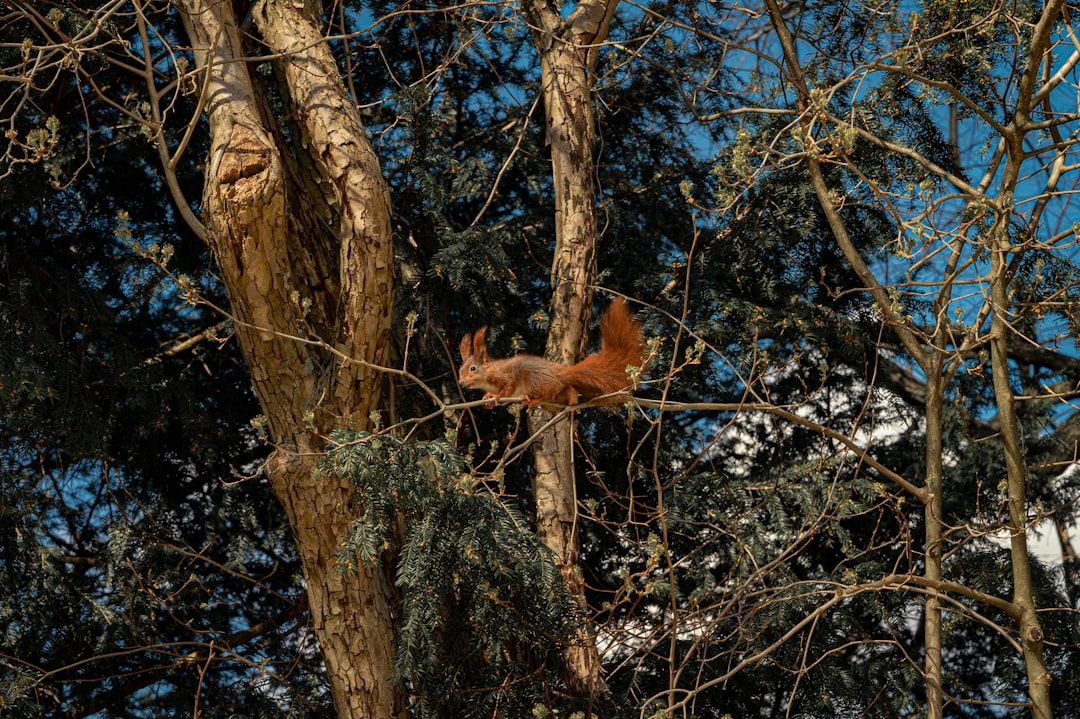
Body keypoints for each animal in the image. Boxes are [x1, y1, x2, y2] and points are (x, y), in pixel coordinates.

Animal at [457, 297, 643, 408]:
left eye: (473, 369)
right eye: (460, 370)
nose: (461, 382)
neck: (489, 372)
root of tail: (564, 374)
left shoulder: (506, 375)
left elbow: (508, 388)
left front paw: (495, 396)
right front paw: (488, 399)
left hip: (534, 380)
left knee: (550, 392)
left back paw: (535, 400)